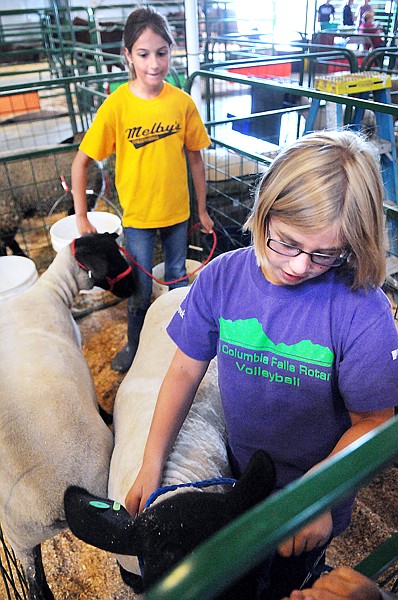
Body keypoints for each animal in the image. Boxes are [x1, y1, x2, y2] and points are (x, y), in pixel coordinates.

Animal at [0, 233, 135, 600]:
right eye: (114, 255)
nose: (133, 286)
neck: (50, 291)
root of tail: (54, 500)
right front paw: (105, 412)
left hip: (20, 540)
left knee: (36, 589)